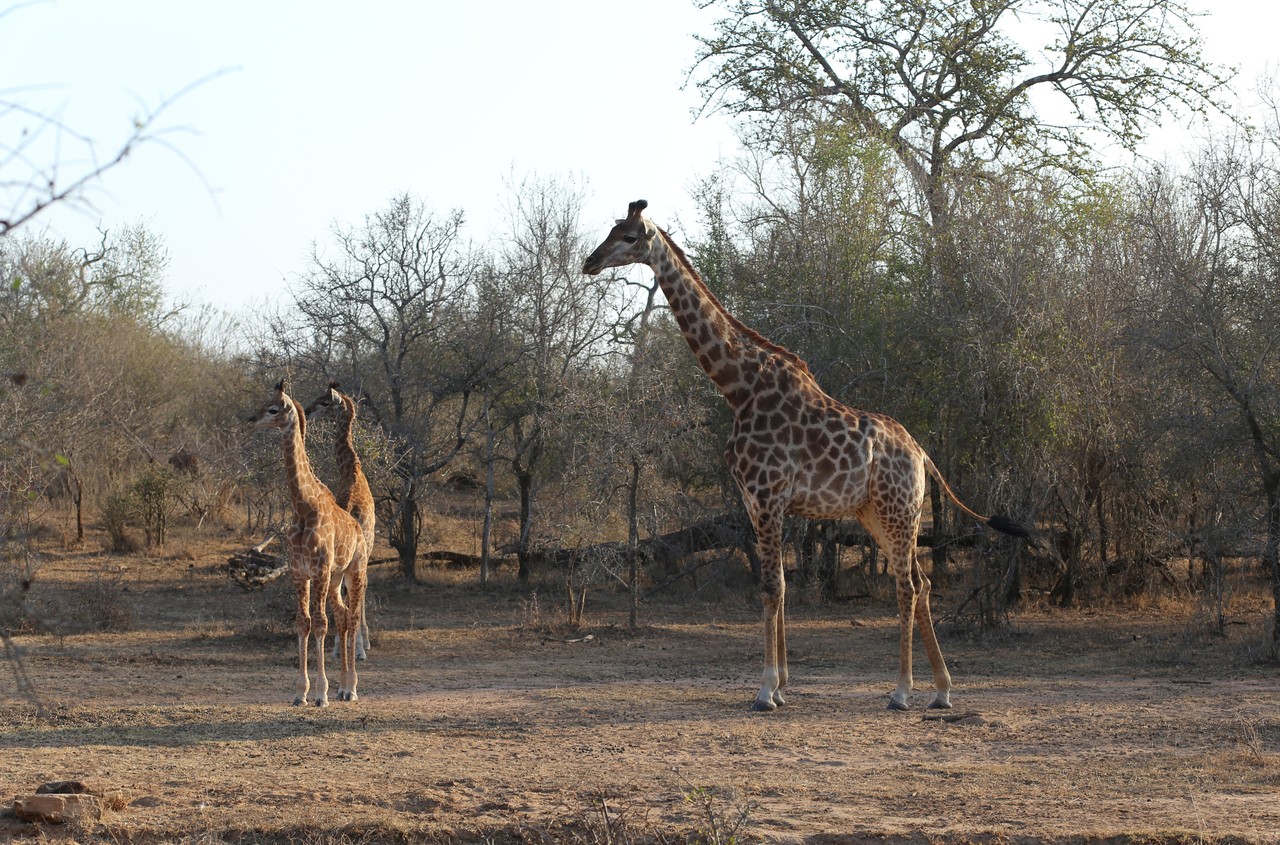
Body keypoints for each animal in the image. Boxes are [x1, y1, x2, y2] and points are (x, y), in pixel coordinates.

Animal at [251, 379, 368, 706]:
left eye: (274, 409)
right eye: (262, 404)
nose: (251, 419)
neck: (304, 507)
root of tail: (358, 527)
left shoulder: (319, 570)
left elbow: (319, 622)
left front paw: (321, 693)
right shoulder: (299, 572)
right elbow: (303, 622)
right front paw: (300, 693)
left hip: (355, 571)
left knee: (351, 615)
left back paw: (351, 688)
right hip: (335, 578)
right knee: (342, 615)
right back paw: (343, 687)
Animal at [583, 200, 1032, 712]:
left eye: (629, 236)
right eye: (611, 229)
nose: (589, 262)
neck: (738, 388)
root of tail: (921, 453)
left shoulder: (767, 496)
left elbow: (772, 586)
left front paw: (764, 690)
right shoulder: (756, 501)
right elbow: (779, 584)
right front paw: (780, 687)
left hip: (898, 510)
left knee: (908, 584)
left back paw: (902, 691)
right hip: (880, 513)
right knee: (923, 582)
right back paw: (941, 691)